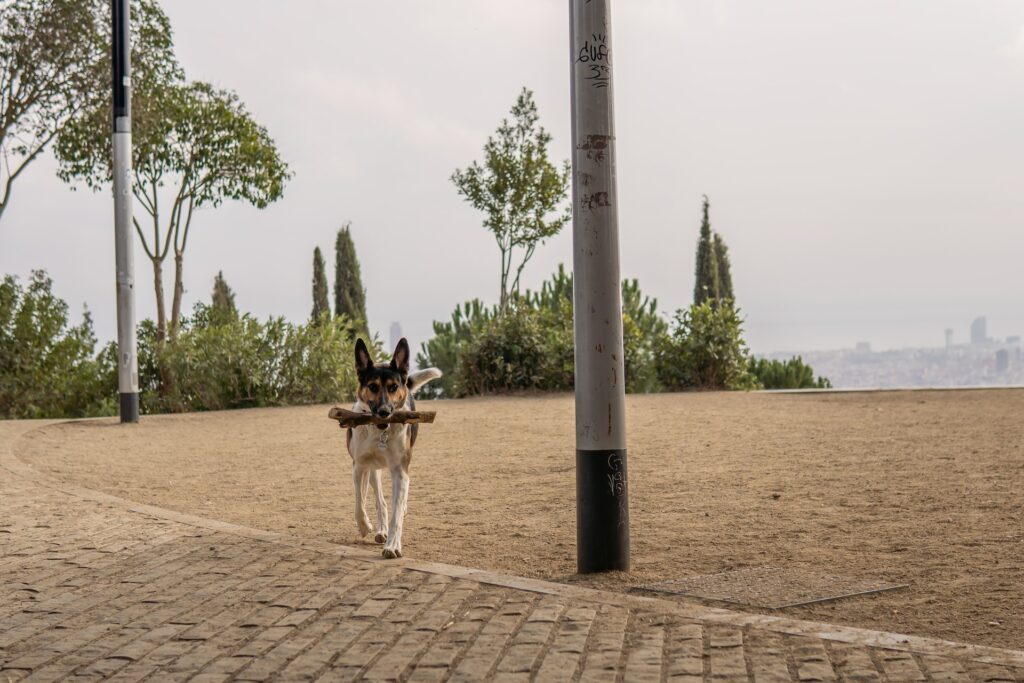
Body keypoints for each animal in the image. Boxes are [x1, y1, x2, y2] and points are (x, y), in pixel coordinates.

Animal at [348, 339, 440, 557]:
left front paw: (392, 545)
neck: (381, 430)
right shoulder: (359, 465)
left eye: (393, 387)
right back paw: (379, 529)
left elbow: (396, 513)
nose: (384, 412)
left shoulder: (399, 471)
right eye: (372, 386)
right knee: (378, 499)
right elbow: (359, 500)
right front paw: (364, 525)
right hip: (373, 469)